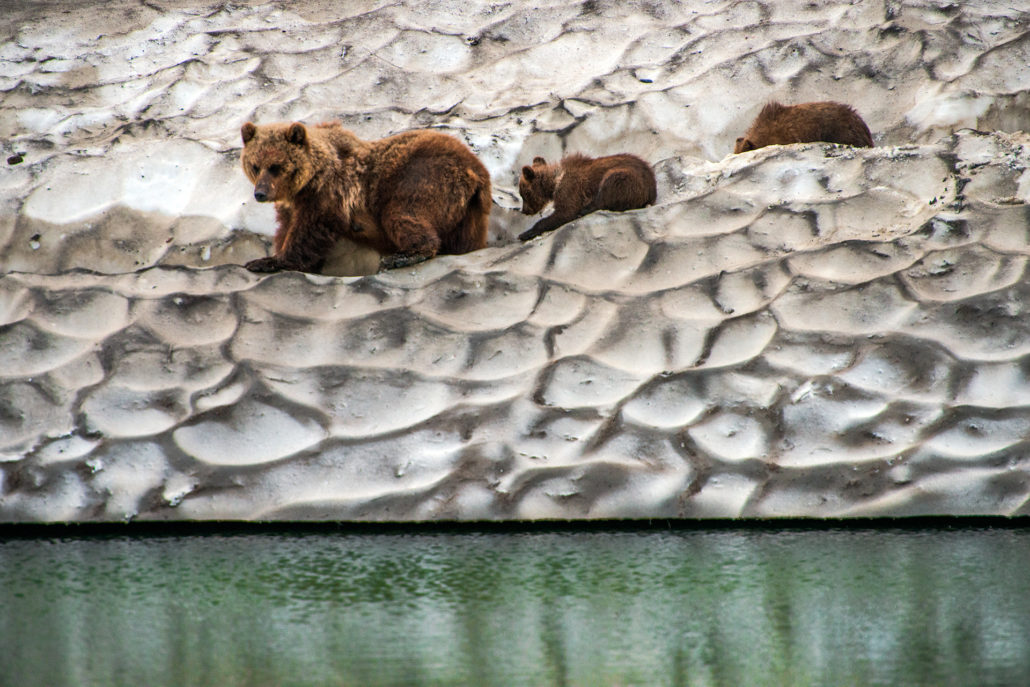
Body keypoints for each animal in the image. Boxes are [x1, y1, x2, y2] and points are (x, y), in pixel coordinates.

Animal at [241, 121, 490, 273]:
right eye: (255, 165)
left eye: (275, 166)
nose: (260, 193)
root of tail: (477, 170)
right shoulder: (291, 204)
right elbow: (286, 227)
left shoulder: (328, 195)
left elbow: (308, 231)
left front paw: (266, 261)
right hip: (469, 213)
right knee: (465, 239)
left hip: (425, 177)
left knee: (401, 214)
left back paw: (403, 256)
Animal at [519, 153, 655, 242]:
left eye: (524, 193)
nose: (524, 211)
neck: (555, 181)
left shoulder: (571, 189)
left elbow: (566, 212)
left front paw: (525, 233)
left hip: (627, 177)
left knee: (609, 185)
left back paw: (585, 209)